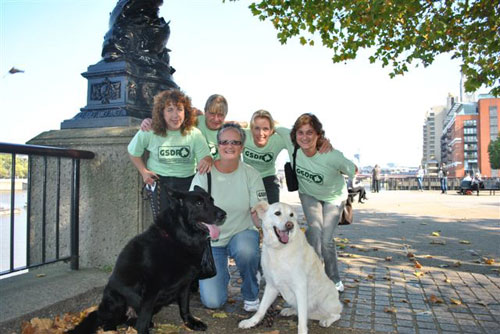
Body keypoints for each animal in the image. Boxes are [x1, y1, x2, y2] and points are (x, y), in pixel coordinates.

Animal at [68, 187, 227, 332]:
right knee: (107, 323)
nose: (224, 214)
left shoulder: (185, 285)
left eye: (212, 200)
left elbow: (184, 307)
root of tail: (100, 310)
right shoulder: (151, 288)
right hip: (117, 300)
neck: (177, 238)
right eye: (199, 203)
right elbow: (144, 316)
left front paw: (191, 323)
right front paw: (142, 330)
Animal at [239, 201, 342, 334]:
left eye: (291, 215)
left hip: (325, 301)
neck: (280, 249)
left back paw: (327, 320)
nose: (290, 225)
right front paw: (251, 322)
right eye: (277, 213)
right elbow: (261, 308)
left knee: (336, 314)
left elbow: (302, 320)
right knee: (301, 311)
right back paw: (290, 310)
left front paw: (302, 331)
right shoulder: (271, 286)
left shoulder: (300, 287)